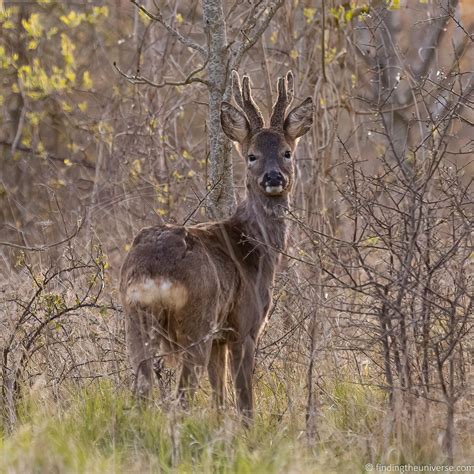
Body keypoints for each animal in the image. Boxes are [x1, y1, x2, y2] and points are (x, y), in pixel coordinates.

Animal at [119, 70, 312, 418]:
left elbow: (219, 396)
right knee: (181, 395)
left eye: (287, 152)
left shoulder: (220, 338)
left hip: (136, 319)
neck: (258, 248)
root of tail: (155, 274)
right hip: (197, 322)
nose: (273, 177)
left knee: (142, 387)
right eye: (251, 155)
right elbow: (244, 398)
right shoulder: (244, 327)